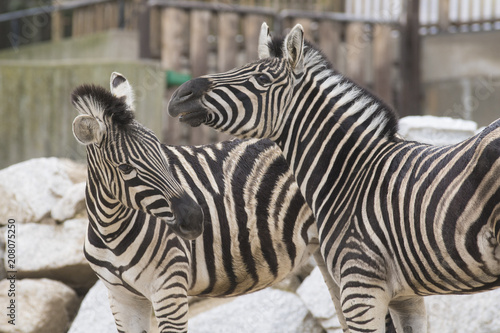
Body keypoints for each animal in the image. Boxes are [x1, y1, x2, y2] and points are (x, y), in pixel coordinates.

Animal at [71, 71, 332, 330]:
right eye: (125, 168)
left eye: (162, 151)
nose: (195, 218)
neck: (111, 230)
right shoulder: (122, 298)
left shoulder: (169, 288)